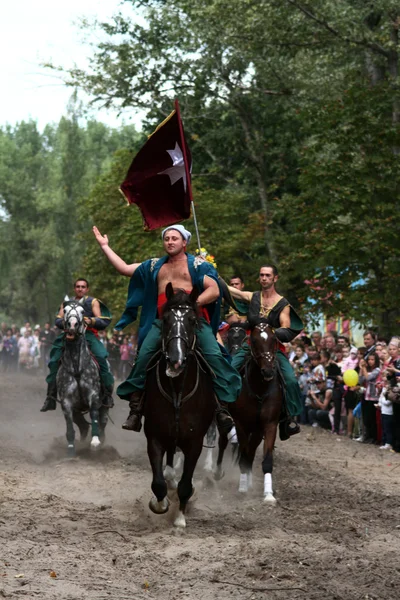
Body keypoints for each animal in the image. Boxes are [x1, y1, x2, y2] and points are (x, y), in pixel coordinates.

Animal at [57, 298, 108, 458]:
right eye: (65, 310)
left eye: (82, 311)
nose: (72, 325)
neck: (76, 366)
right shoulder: (66, 401)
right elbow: (70, 427)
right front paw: (71, 450)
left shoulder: (94, 395)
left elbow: (94, 415)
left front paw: (95, 442)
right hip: (77, 409)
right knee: (83, 425)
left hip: (104, 404)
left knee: (102, 420)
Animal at [143, 284, 214, 528]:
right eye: (165, 320)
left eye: (192, 320)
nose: (176, 358)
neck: (177, 388)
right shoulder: (154, 436)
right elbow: (158, 482)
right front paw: (160, 503)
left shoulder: (195, 442)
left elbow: (186, 484)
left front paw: (180, 519)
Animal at [216, 324, 282, 502]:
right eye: (254, 340)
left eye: (274, 340)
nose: (268, 371)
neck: (259, 389)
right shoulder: (241, 424)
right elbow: (243, 456)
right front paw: (243, 487)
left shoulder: (268, 425)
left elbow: (264, 459)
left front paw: (268, 494)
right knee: (223, 443)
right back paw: (217, 473)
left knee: (250, 452)